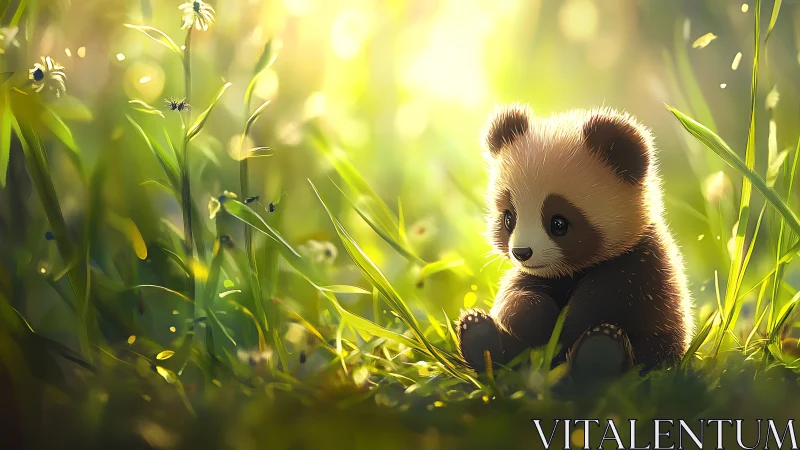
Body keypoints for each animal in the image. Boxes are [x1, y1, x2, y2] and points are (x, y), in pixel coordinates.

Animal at [457, 104, 693, 378]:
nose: (521, 252)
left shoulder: (640, 264)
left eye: (558, 223)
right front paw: (534, 319)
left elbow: (604, 303)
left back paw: (599, 351)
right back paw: (477, 332)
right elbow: (513, 295)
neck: (571, 271)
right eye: (508, 218)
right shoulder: (533, 275)